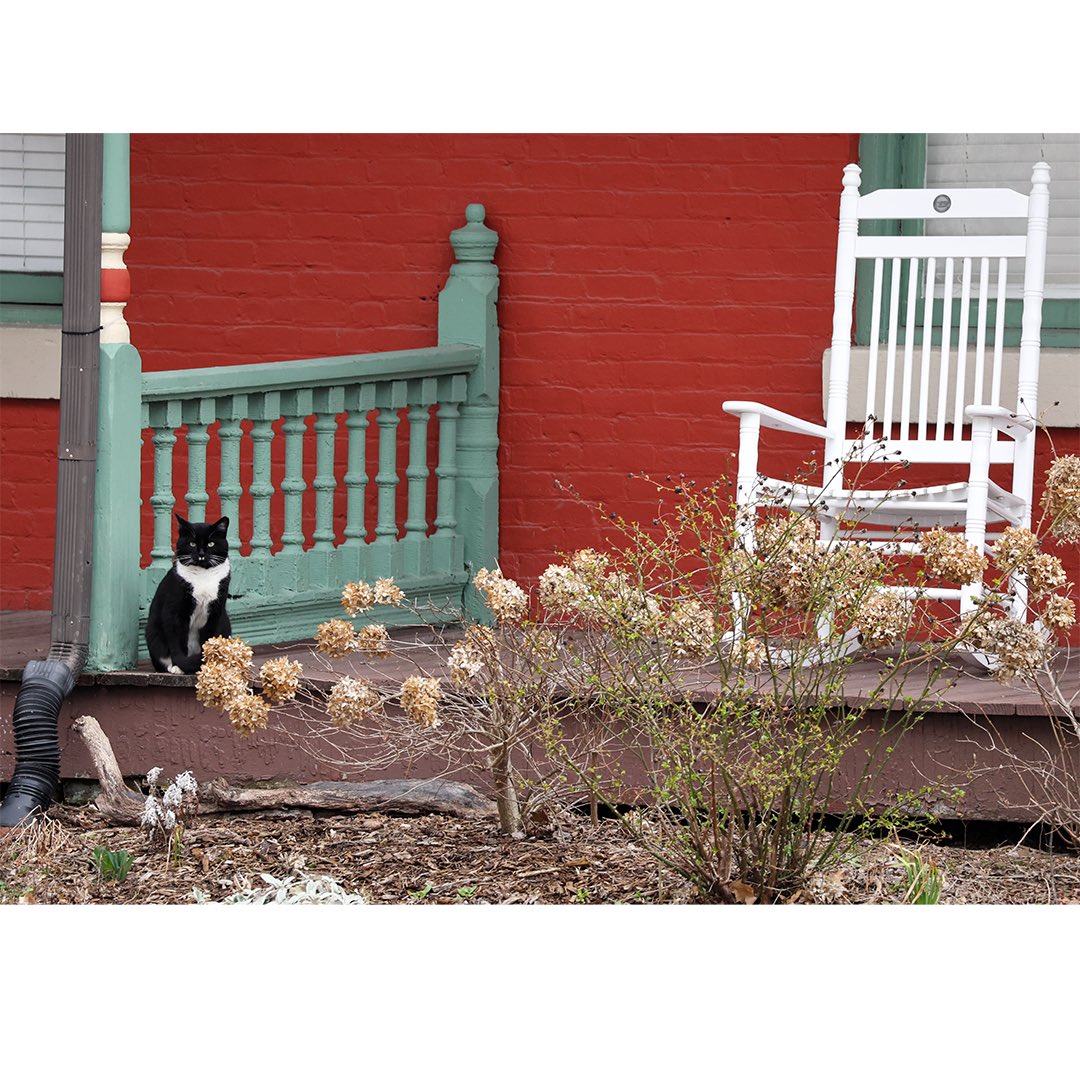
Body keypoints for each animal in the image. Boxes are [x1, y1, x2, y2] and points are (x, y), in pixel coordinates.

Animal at [147, 516, 232, 673]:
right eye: (192, 543)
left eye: (211, 543)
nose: (201, 554)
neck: (203, 574)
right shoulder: (175, 611)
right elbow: (177, 640)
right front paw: (179, 666)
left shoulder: (215, 612)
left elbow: (209, 638)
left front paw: (207, 664)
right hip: (152, 632)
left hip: (225, 622)